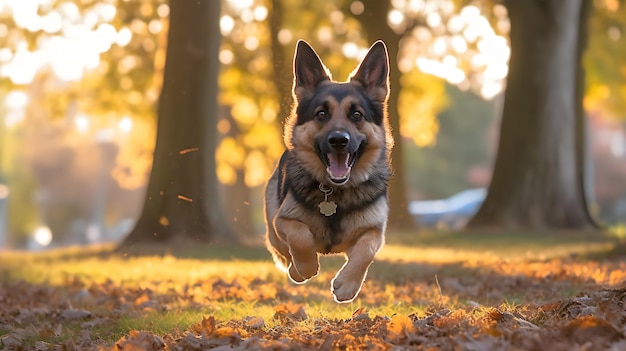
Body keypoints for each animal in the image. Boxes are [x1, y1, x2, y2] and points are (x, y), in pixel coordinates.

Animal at [264, 40, 390, 304]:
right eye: (321, 114)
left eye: (357, 114)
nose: (339, 140)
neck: (335, 192)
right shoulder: (283, 221)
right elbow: (300, 236)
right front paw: (305, 268)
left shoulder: (374, 231)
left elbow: (366, 250)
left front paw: (347, 286)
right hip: (273, 234)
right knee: (283, 250)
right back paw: (295, 269)